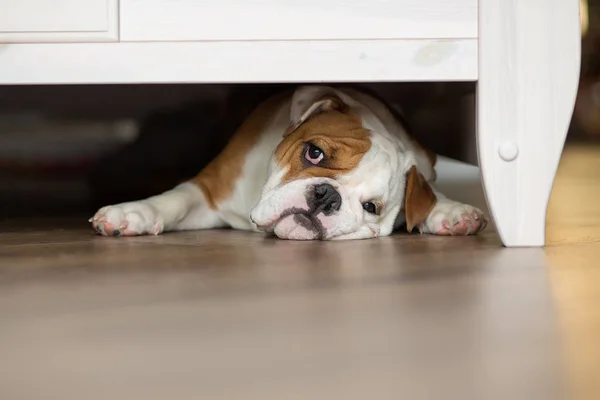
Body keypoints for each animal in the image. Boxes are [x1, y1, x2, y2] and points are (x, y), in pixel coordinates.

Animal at [89, 85, 488, 239]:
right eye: (314, 152)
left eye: (371, 207)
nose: (327, 196)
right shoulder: (209, 191)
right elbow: (175, 200)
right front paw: (131, 213)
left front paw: (447, 210)